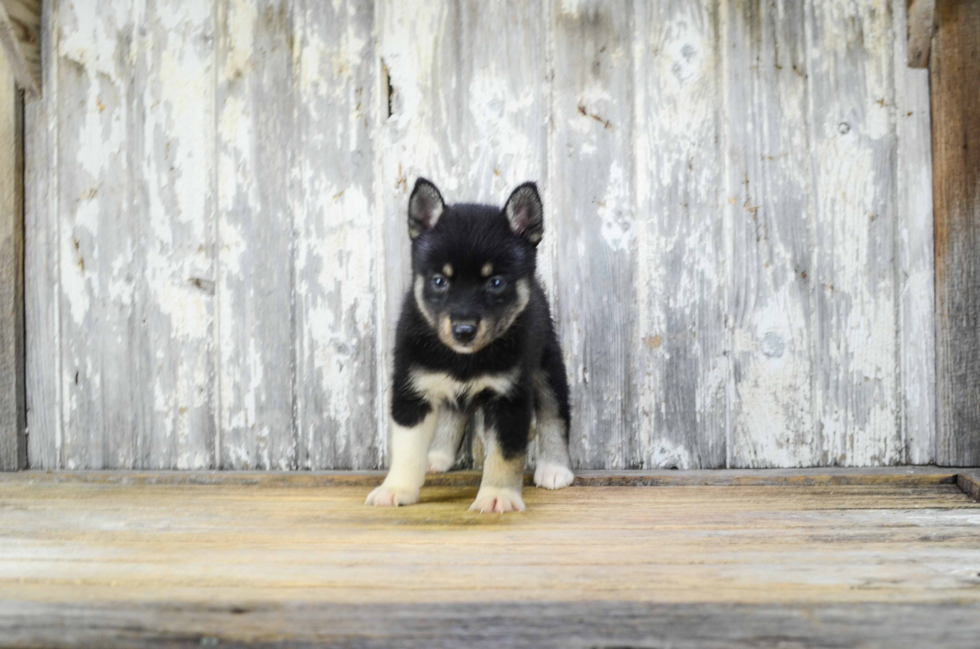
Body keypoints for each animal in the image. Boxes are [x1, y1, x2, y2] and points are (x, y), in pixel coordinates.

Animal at [370, 177, 580, 512]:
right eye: (439, 281)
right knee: (454, 412)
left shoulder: (509, 397)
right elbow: (406, 448)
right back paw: (437, 456)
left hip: (548, 365)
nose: (464, 331)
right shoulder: (411, 391)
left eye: (496, 282)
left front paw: (497, 495)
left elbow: (505, 454)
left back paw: (555, 467)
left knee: (554, 412)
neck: (464, 359)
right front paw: (396, 489)